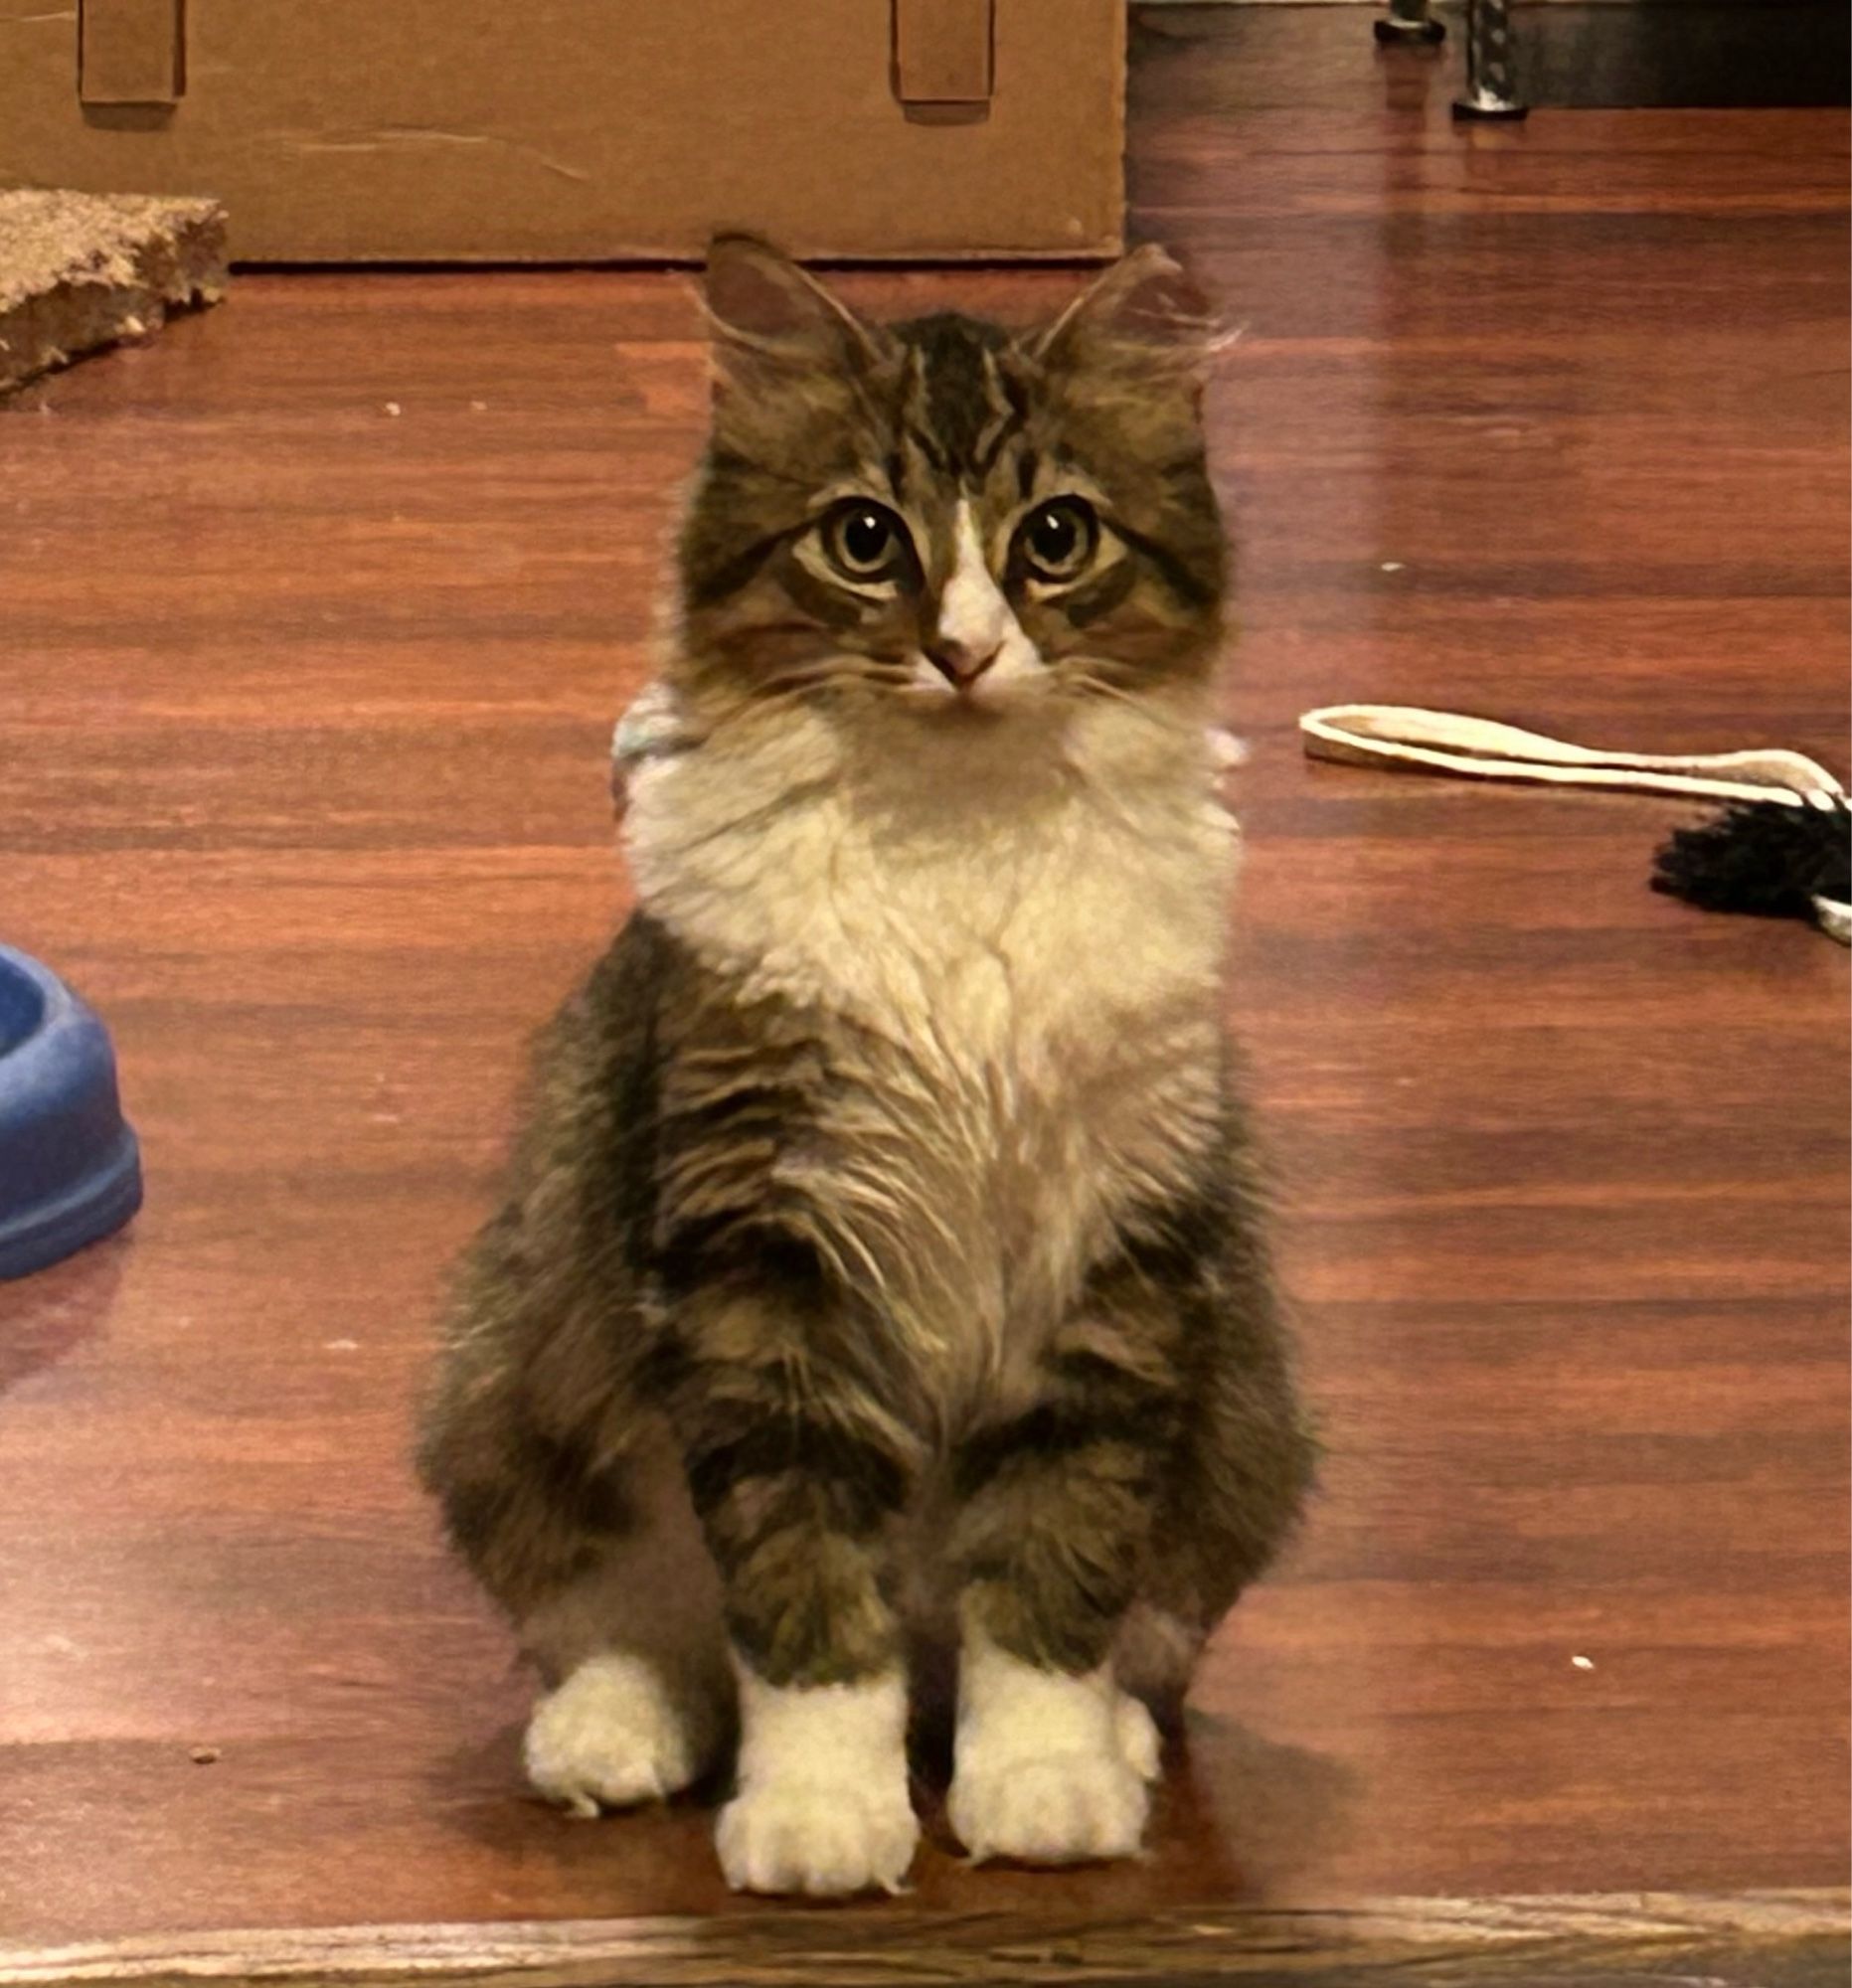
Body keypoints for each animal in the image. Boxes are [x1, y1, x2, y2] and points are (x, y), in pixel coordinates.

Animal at [419, 233, 1319, 1893]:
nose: (960, 651)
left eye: (1052, 537)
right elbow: (799, 1596)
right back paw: (611, 1738)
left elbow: (1051, 1573)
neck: (951, 837)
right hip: (502, 1386)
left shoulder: (1113, 1256)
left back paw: (1115, 1739)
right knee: (622, 1624)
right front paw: (819, 1816)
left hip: (1252, 1426)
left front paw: (1038, 1779)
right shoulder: (756, 1253)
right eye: (862, 539)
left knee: (1132, 1635)